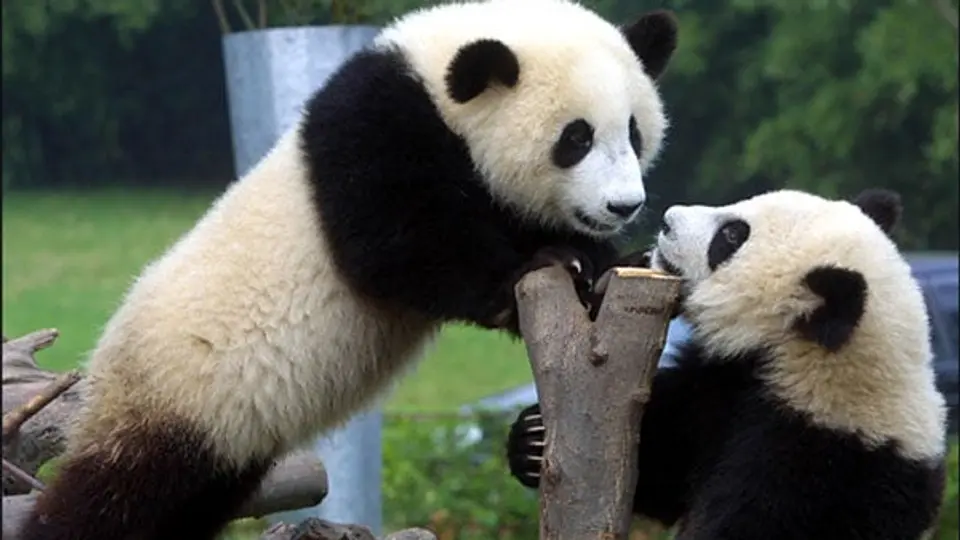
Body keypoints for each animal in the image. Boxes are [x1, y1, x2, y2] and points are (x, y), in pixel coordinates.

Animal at [20, 1, 679, 539]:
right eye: (576, 139)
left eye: (633, 131)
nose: (624, 205)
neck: (435, 84)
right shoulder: (377, 128)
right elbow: (392, 246)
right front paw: (552, 264)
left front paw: (610, 264)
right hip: (172, 391)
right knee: (113, 500)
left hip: (220, 444)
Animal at [506, 188, 948, 540]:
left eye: (732, 236)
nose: (667, 220)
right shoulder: (720, 388)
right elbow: (661, 461)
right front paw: (532, 439)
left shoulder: (817, 468)